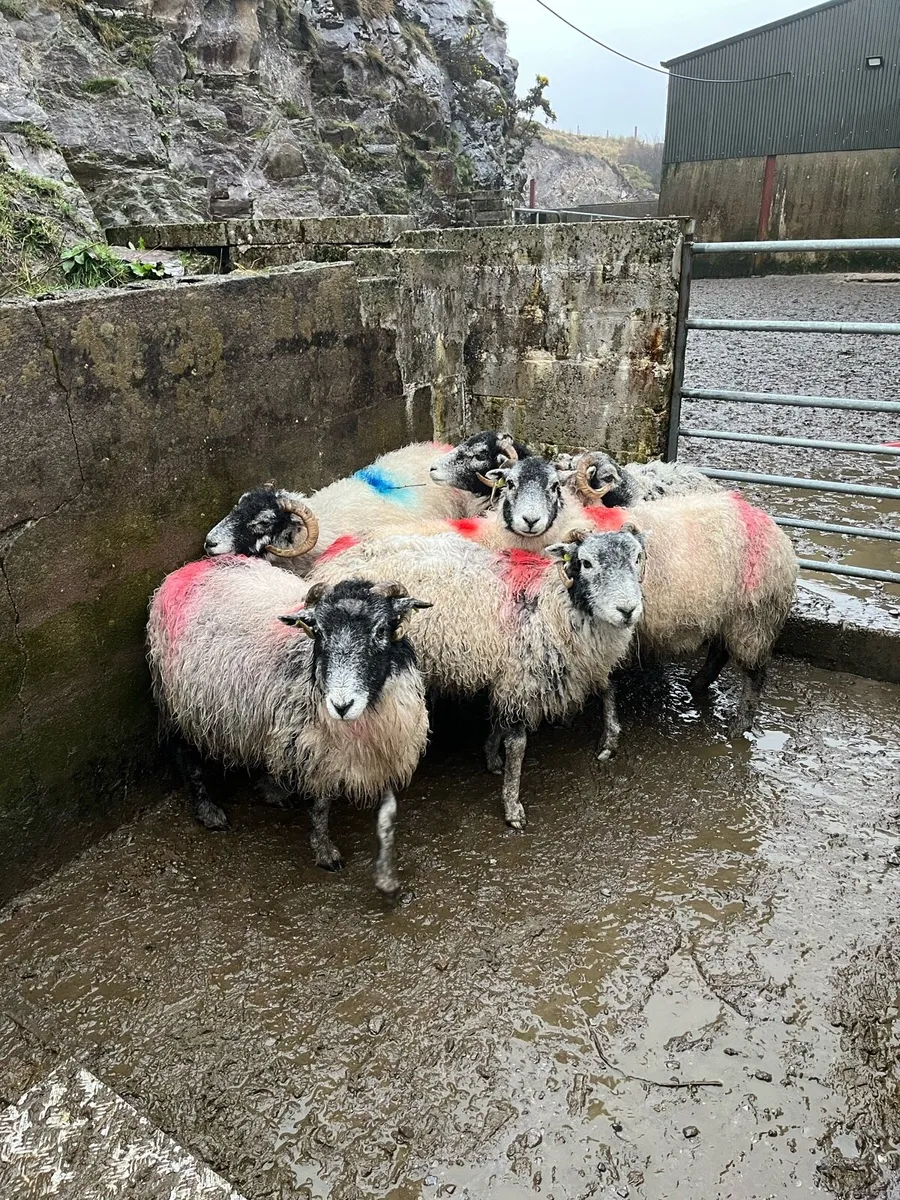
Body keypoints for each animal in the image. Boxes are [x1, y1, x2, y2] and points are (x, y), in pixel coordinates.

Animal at [147, 552, 432, 896]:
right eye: (319, 632)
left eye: (380, 631)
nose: (341, 705)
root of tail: (191, 567)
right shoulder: (318, 749)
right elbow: (320, 806)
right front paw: (325, 852)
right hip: (180, 700)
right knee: (185, 753)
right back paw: (208, 810)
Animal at [307, 525, 645, 830]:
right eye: (586, 563)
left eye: (637, 558)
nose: (627, 610)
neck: (554, 604)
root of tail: (338, 553)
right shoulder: (520, 677)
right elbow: (517, 744)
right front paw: (512, 807)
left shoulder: (513, 674)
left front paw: (491, 755)